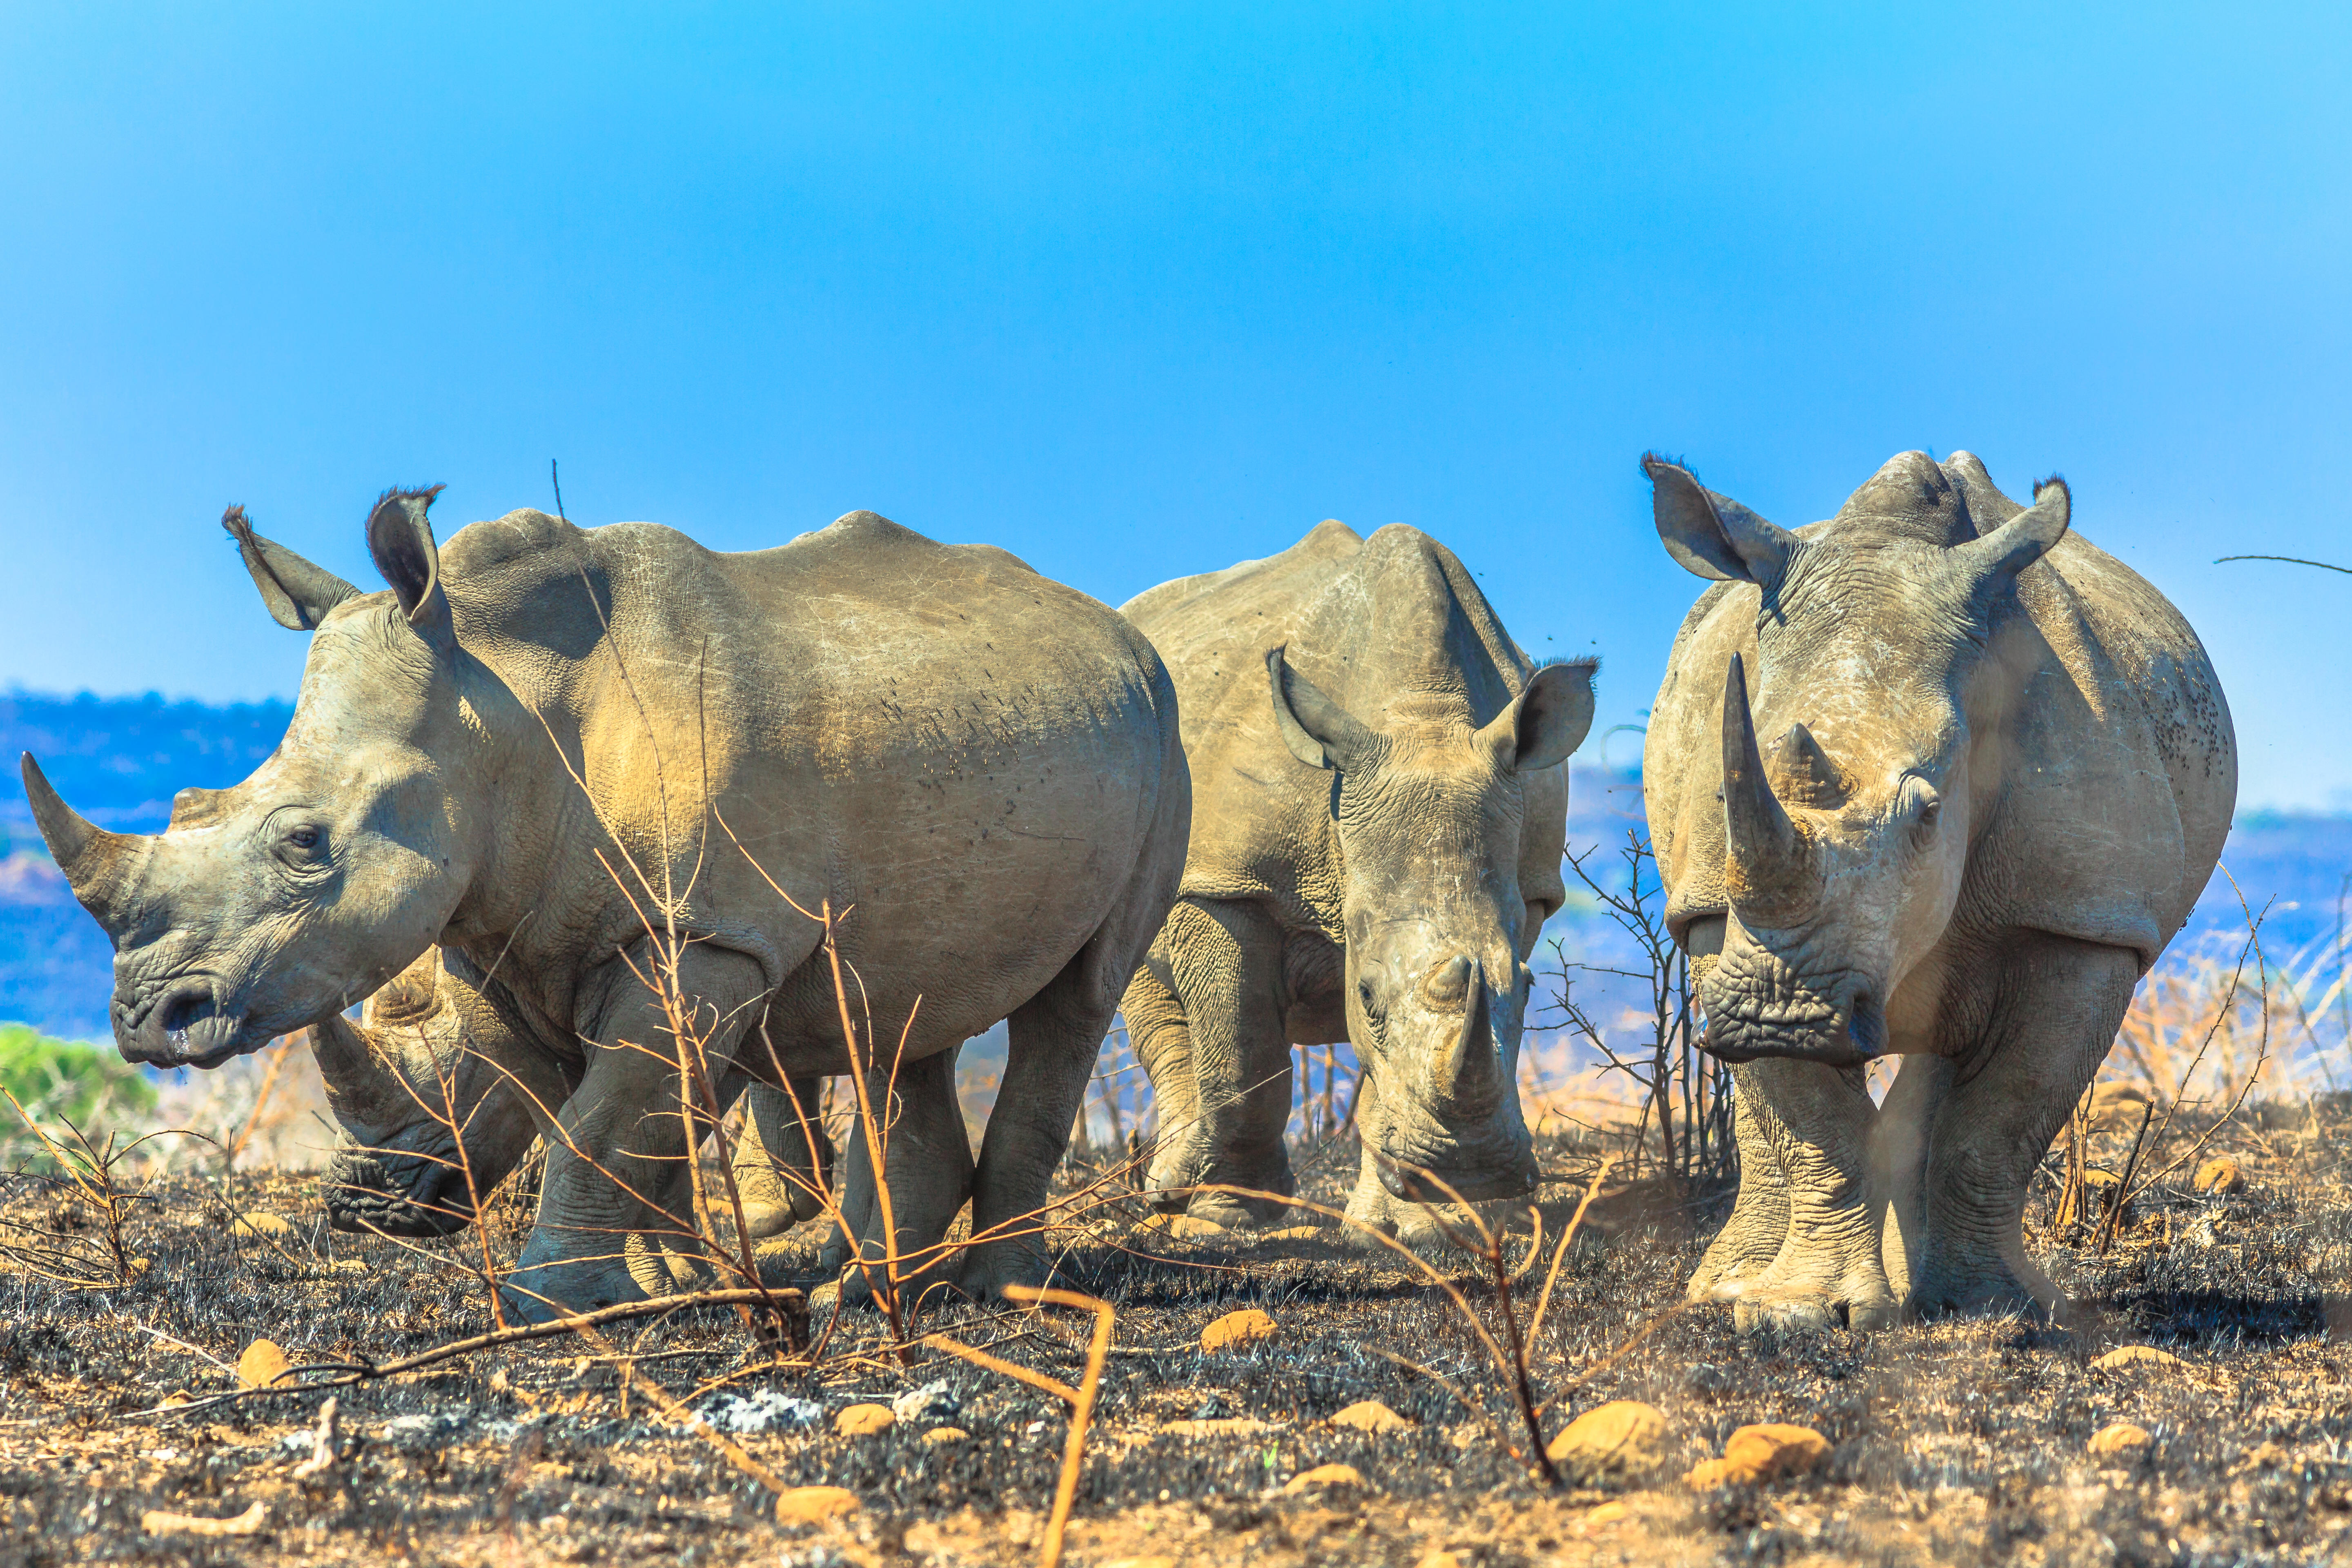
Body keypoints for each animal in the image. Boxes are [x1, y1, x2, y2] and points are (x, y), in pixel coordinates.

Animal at [1118, 523, 1593, 1245]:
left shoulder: (1530, 889)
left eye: (1532, 988)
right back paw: (1172, 1191)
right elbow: (1241, 1051)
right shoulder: (1230, 882)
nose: (1475, 1168)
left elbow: (1386, 1071)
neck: (1423, 718)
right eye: (1366, 994)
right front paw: (1224, 1220)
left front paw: (1411, 1228)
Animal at [1641, 451, 2234, 1327]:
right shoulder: (1718, 908)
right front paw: (1799, 1313)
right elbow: (1813, 1125)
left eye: (1927, 812)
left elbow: (2000, 1121)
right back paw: (1727, 1289)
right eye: (1723, 790)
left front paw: (1999, 1309)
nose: (1781, 1015)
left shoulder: (2078, 913)